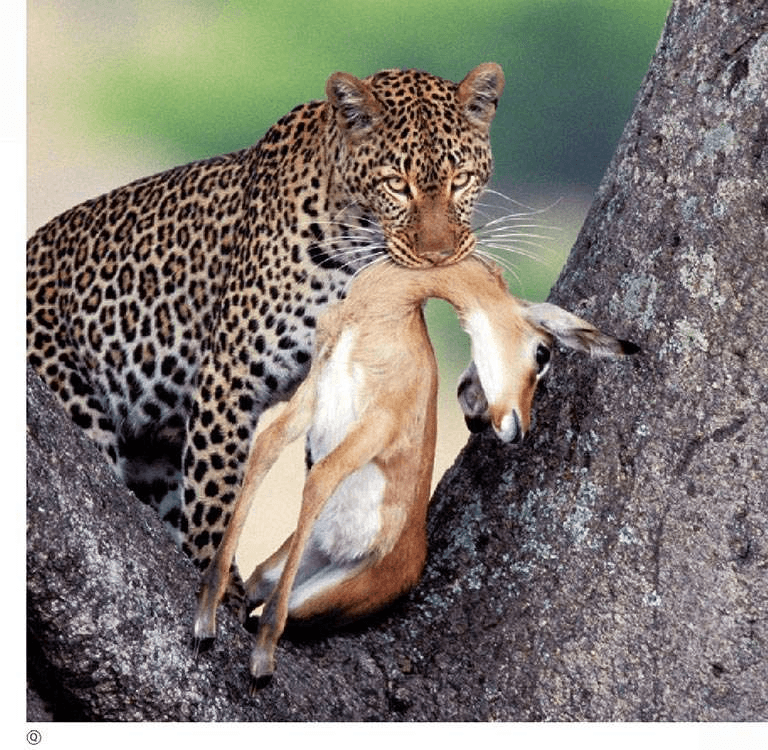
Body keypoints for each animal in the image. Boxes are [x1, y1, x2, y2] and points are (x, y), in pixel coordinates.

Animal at [26, 63, 505, 576]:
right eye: (397, 184)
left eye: (461, 180)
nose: (438, 256)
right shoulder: (227, 377)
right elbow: (216, 497)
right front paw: (219, 588)